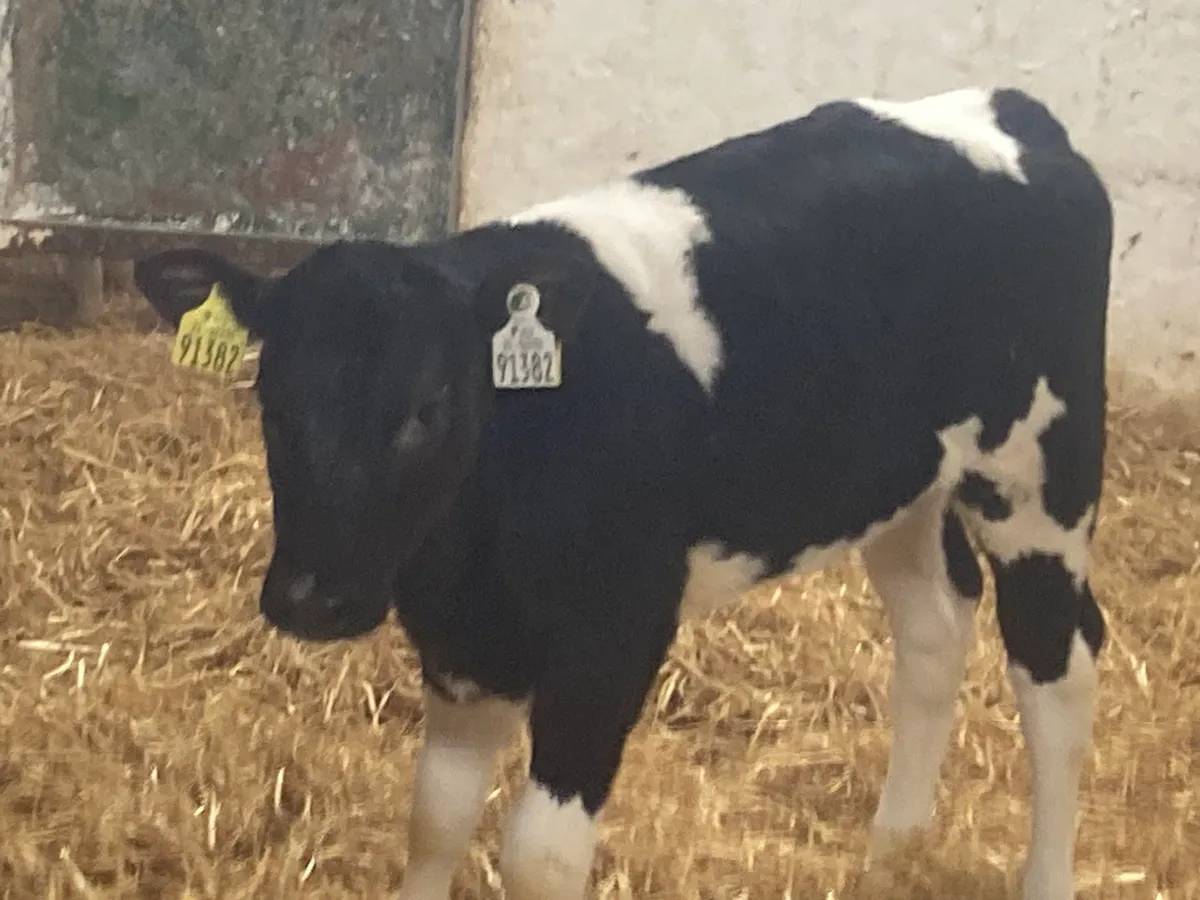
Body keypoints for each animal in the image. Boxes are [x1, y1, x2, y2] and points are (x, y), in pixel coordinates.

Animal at [134, 87, 1113, 900]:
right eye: (272, 398)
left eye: (430, 406)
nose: (311, 598)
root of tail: (1014, 111)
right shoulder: (464, 647)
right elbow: (436, 818)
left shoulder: (613, 637)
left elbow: (538, 857)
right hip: (900, 488)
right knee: (936, 628)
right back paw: (888, 858)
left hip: (1040, 479)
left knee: (1059, 670)